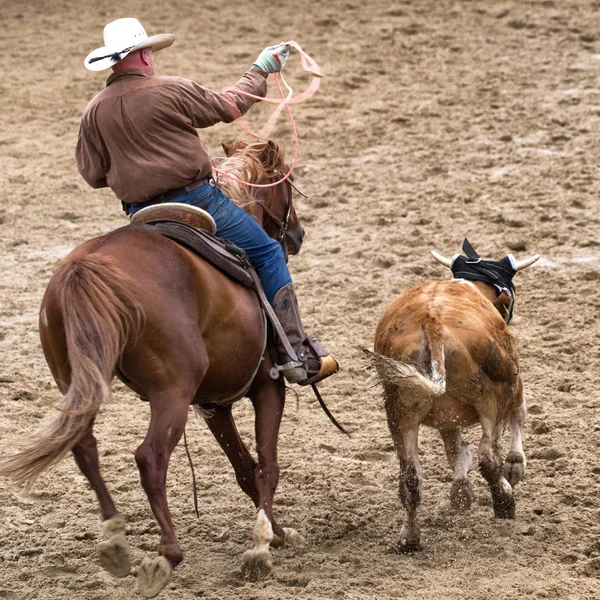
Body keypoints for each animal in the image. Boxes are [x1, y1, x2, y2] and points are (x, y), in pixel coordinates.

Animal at [1, 139, 304, 596]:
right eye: (285, 181)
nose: (297, 234)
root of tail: (87, 265)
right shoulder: (267, 386)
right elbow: (267, 466)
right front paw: (261, 547)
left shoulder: (213, 403)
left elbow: (245, 468)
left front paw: (278, 532)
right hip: (171, 393)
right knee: (151, 457)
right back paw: (167, 553)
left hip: (78, 381)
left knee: (85, 448)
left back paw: (115, 539)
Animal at [370, 239, 540, 552]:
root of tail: (432, 322)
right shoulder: (514, 384)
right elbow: (519, 416)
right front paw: (515, 466)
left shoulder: (446, 416)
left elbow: (456, 450)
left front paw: (461, 491)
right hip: (494, 397)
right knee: (488, 457)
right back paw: (504, 501)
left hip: (400, 412)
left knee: (411, 478)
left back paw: (409, 537)